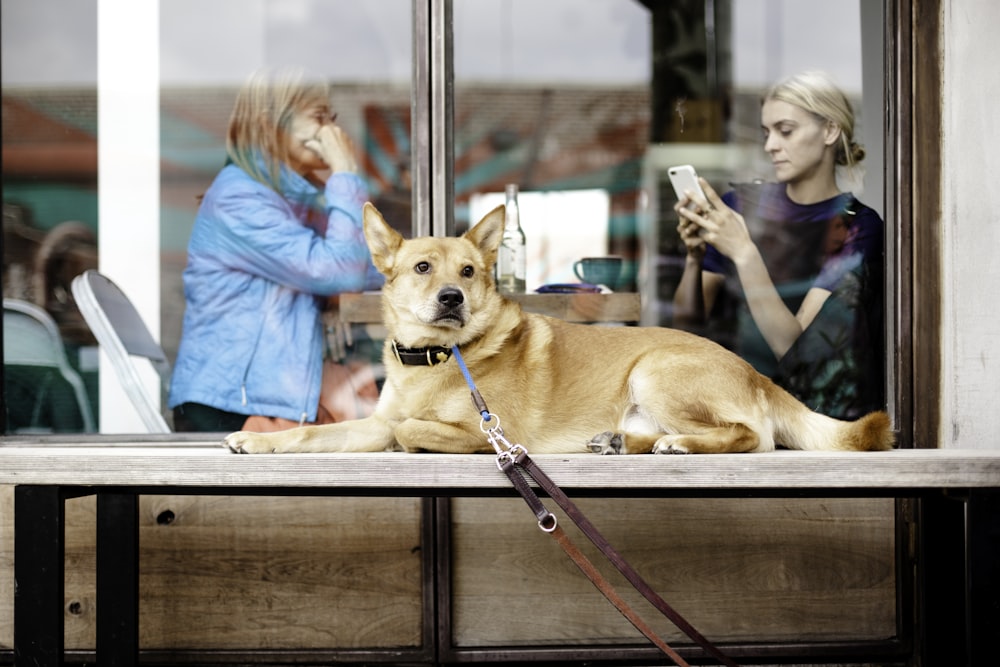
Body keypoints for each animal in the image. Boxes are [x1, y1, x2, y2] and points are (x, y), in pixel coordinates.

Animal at [223, 202, 896, 454]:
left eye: (468, 271)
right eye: (421, 267)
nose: (451, 296)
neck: (438, 359)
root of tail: (756, 374)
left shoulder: (486, 432)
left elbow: (410, 428)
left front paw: (411, 437)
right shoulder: (369, 419)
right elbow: (318, 433)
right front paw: (260, 442)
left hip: (656, 371)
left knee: (753, 437)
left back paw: (679, 444)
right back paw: (622, 443)